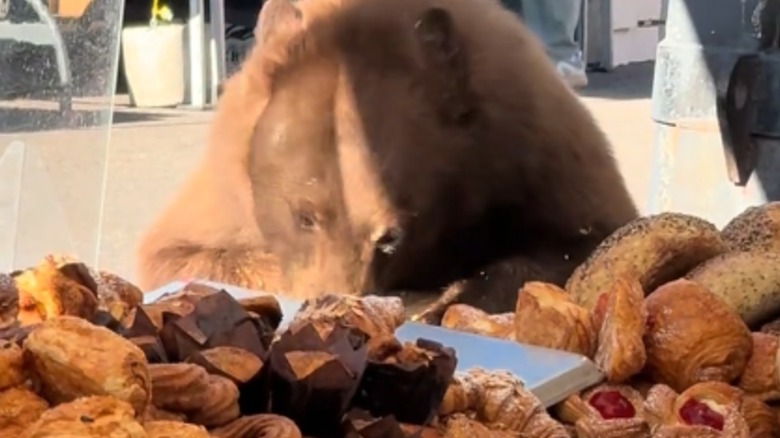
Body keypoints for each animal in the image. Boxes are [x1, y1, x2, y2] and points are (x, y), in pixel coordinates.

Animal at [135, 0, 639, 313]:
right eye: (304, 216)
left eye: (390, 237)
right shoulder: (227, 183)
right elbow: (177, 253)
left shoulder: (532, 143)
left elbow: (593, 238)